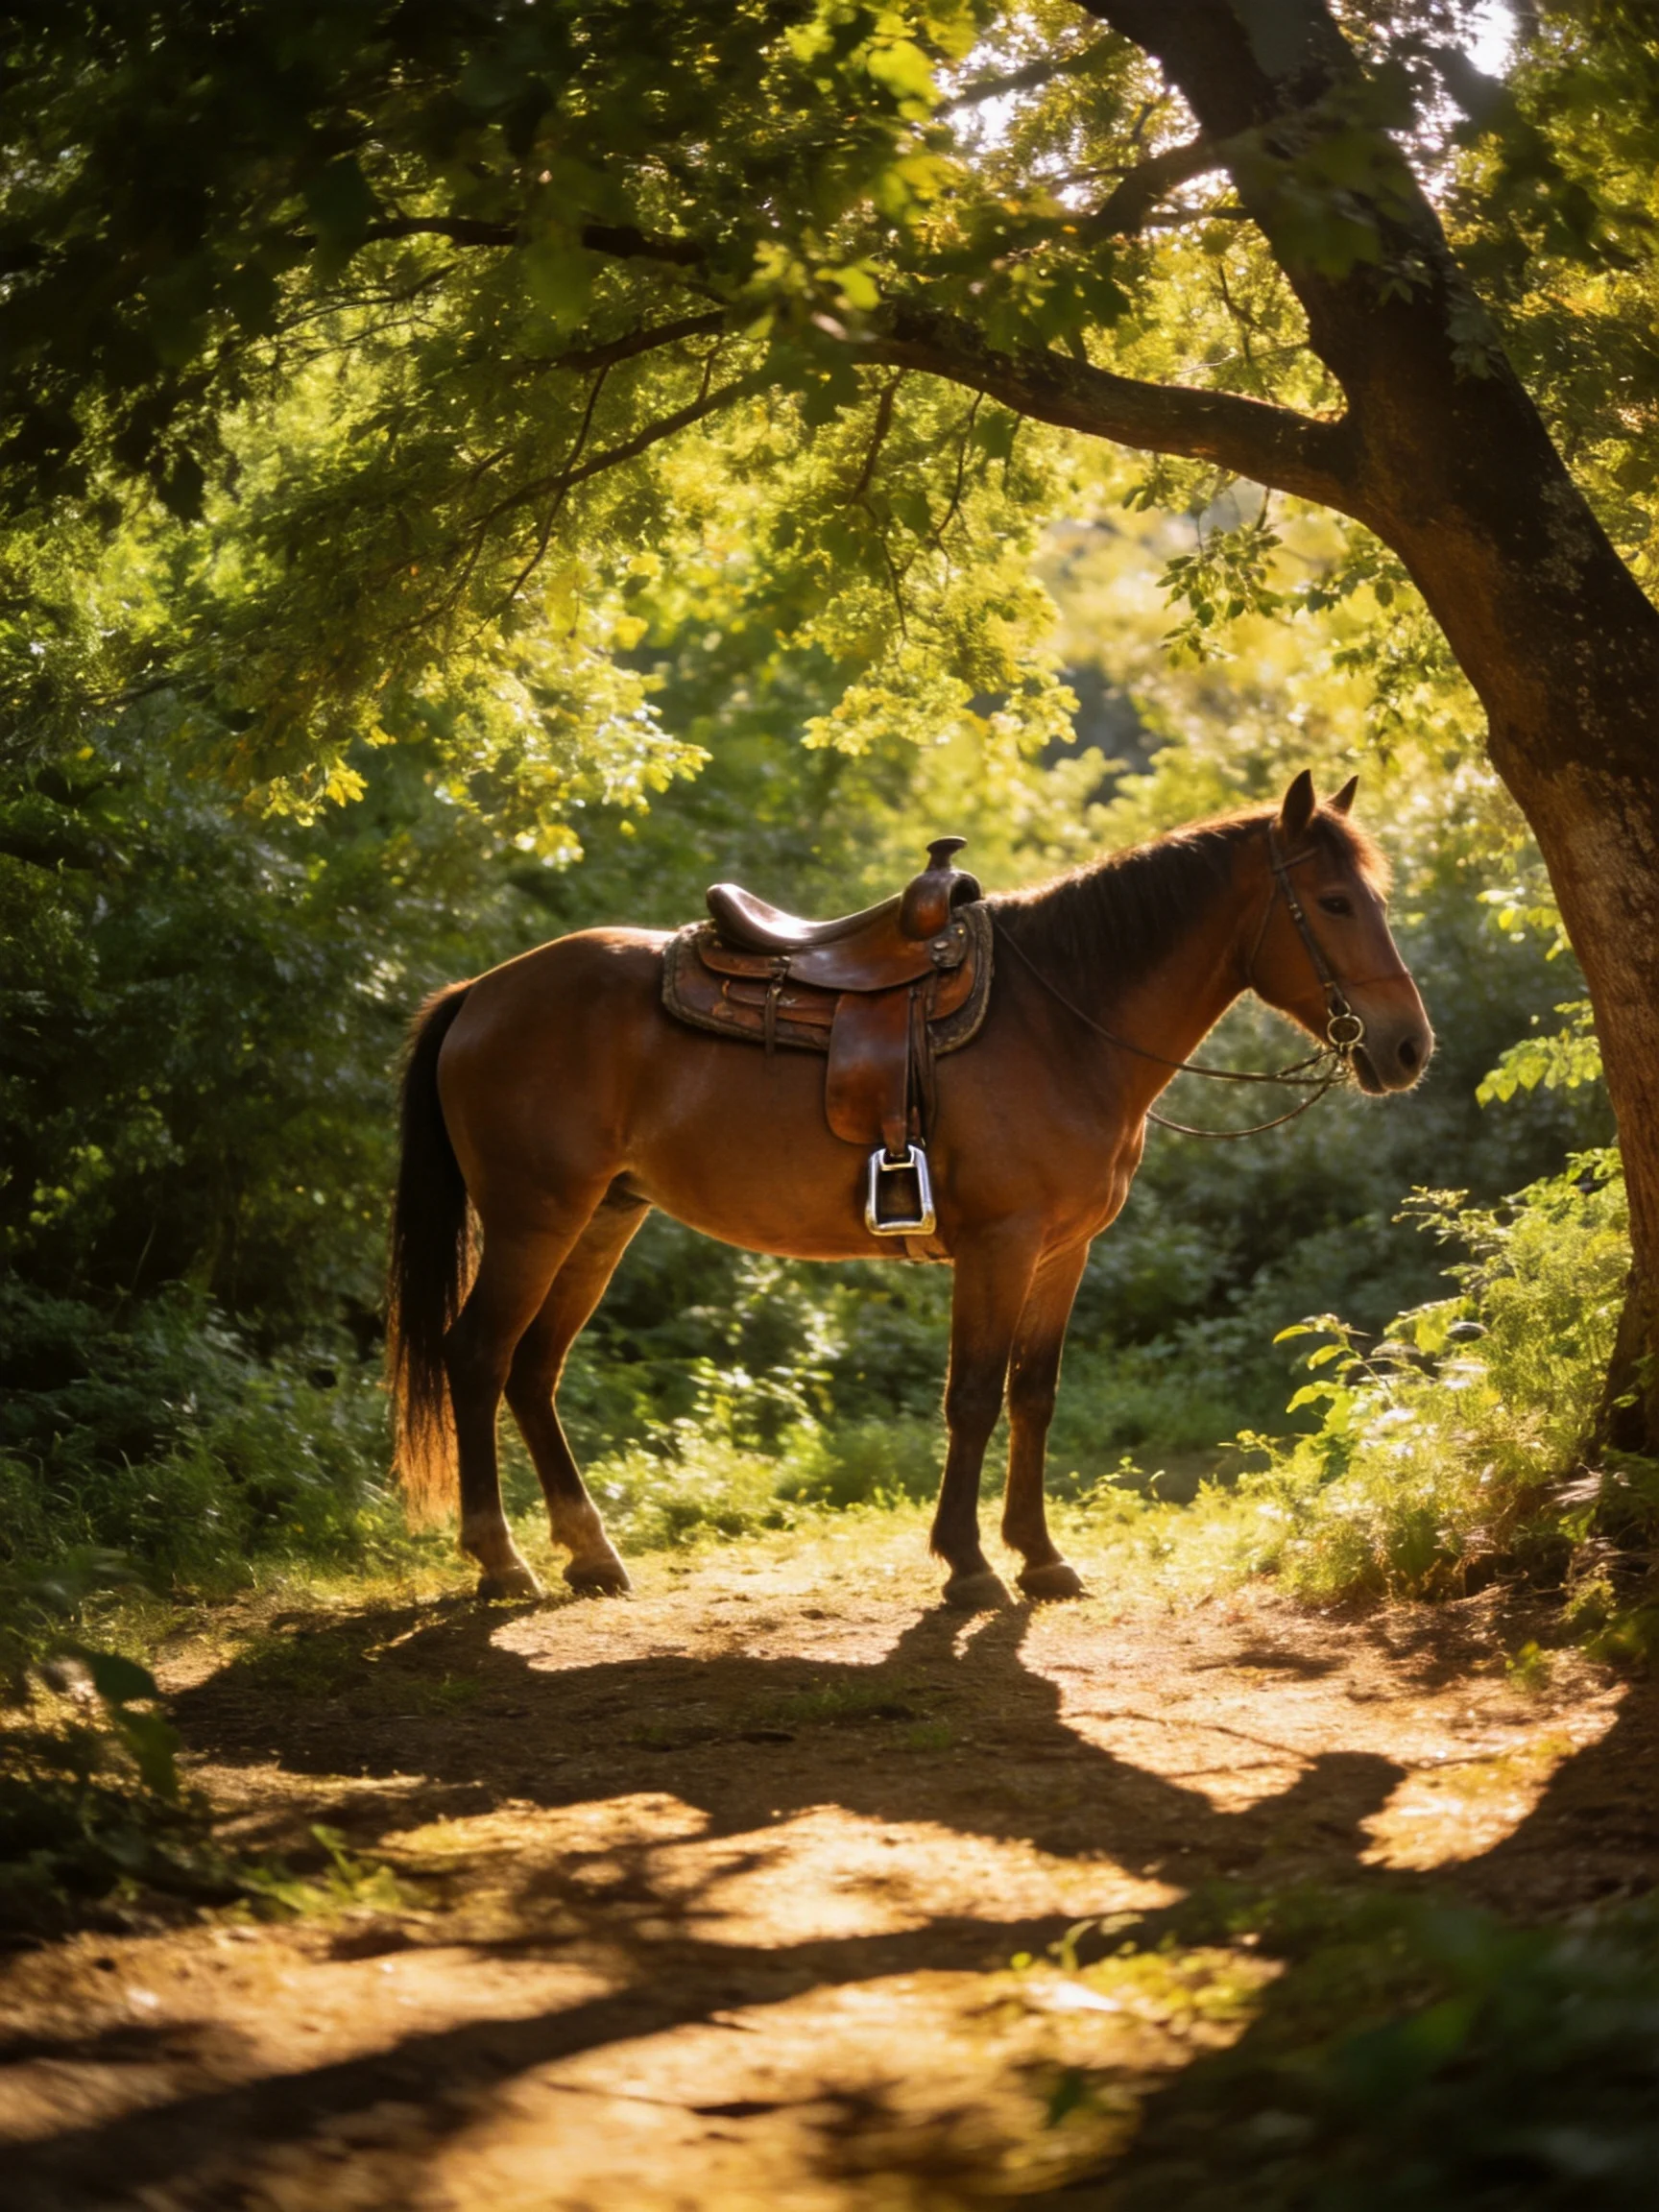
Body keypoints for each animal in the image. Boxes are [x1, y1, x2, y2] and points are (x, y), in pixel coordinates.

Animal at [388, 769, 1432, 1610]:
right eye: (1334, 902)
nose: (1409, 1047)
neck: (1063, 1023)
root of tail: (481, 994)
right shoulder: (1000, 1246)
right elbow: (971, 1396)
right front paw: (968, 1566)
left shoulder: (1064, 1251)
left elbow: (1033, 1395)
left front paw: (1041, 1558)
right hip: (534, 1221)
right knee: (477, 1356)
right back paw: (502, 1561)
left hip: (601, 1221)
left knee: (532, 1370)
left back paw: (589, 1555)